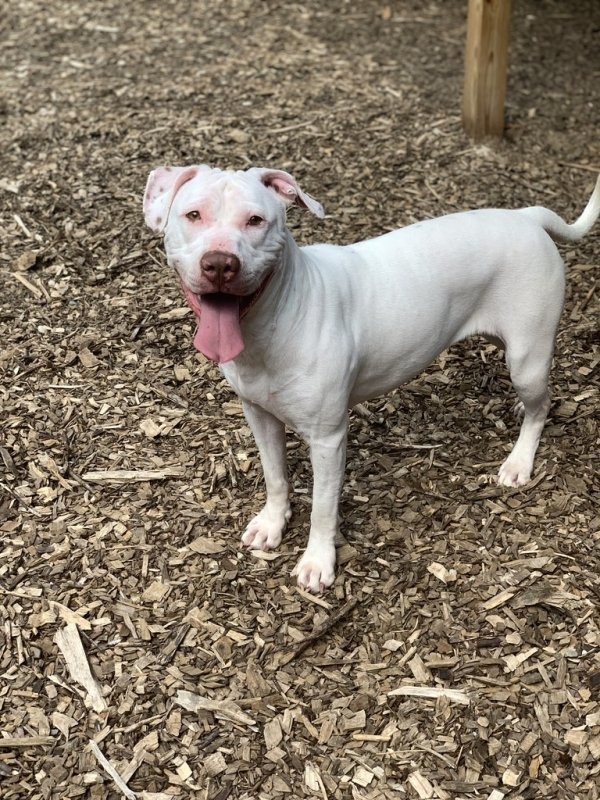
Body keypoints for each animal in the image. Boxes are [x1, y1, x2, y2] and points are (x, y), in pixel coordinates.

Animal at [143, 167, 596, 592]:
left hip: (526, 356)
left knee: (542, 406)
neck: (273, 321)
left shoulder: (328, 439)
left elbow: (323, 507)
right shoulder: (259, 414)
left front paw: (317, 562)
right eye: (193, 215)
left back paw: (519, 461)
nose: (220, 263)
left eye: (256, 220)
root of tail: (526, 216)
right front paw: (272, 523)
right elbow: (275, 476)